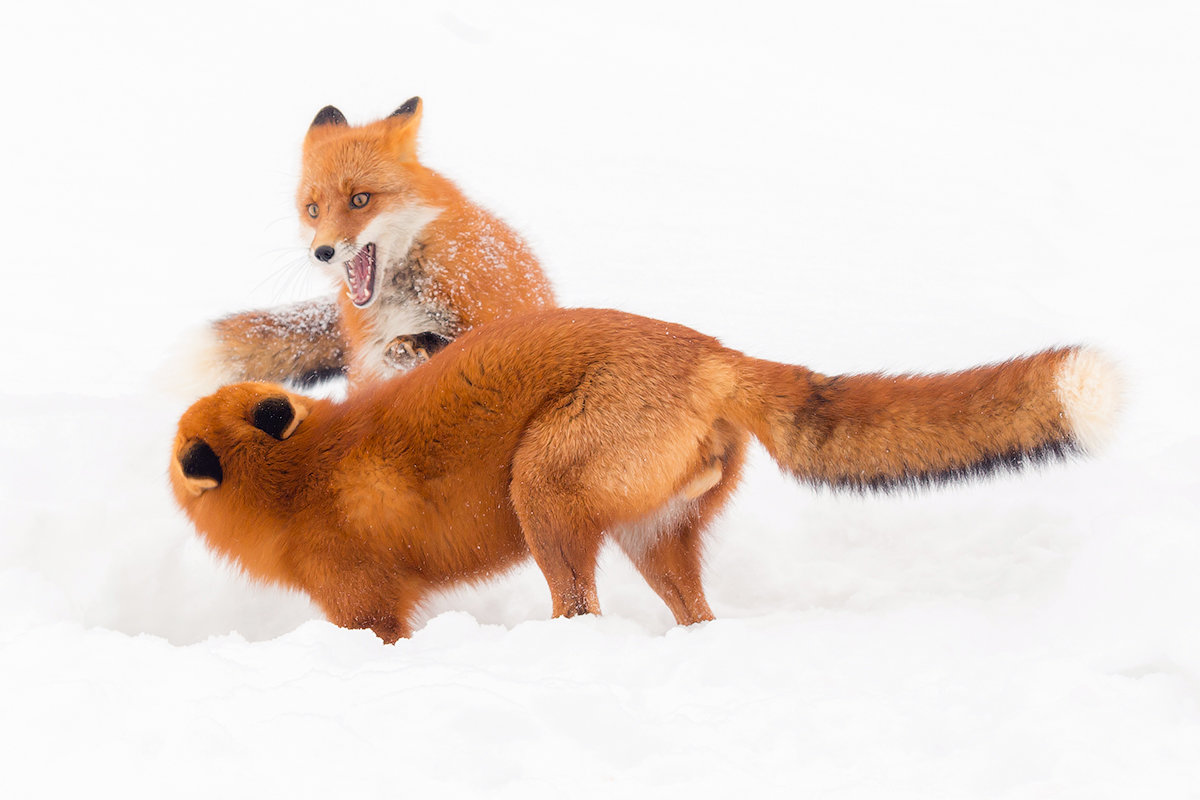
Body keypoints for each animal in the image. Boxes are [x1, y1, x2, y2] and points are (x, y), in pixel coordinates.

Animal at [166, 309, 1113, 642]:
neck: (302, 473)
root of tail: (712, 351)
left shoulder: (361, 604)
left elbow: (377, 634)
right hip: (655, 536)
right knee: (695, 613)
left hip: (541, 493)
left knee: (581, 606)